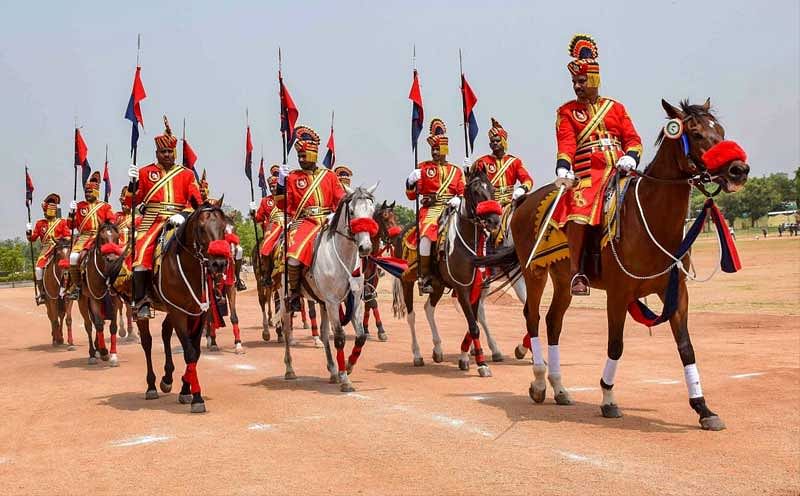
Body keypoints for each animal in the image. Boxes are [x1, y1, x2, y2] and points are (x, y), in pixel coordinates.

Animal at [77, 223, 124, 366]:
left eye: (116, 237)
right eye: (102, 239)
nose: (112, 259)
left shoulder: (114, 299)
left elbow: (112, 326)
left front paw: (113, 355)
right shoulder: (94, 299)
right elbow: (97, 325)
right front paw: (104, 352)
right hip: (83, 301)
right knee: (89, 325)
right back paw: (93, 353)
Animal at [127, 203, 228, 412]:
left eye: (224, 227)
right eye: (201, 228)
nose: (219, 263)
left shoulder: (198, 313)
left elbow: (195, 352)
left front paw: (186, 388)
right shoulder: (179, 312)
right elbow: (189, 352)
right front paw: (197, 397)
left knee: (165, 331)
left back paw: (167, 378)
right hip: (150, 310)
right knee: (147, 342)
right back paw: (151, 386)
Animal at [392, 169, 500, 378]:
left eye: (492, 189)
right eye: (475, 192)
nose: (494, 221)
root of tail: (401, 234)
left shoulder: (475, 288)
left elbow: (472, 323)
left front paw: (467, 359)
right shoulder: (462, 288)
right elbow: (473, 326)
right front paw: (481, 364)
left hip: (438, 285)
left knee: (428, 308)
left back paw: (438, 349)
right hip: (407, 281)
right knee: (411, 316)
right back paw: (417, 355)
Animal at [472, 98, 748, 430]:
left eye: (720, 131)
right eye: (695, 133)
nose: (739, 169)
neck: (650, 220)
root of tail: (523, 203)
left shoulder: (675, 292)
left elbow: (686, 347)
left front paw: (703, 408)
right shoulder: (618, 295)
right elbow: (616, 345)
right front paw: (607, 398)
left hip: (563, 280)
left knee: (553, 322)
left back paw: (559, 387)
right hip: (534, 272)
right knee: (533, 318)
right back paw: (539, 382)